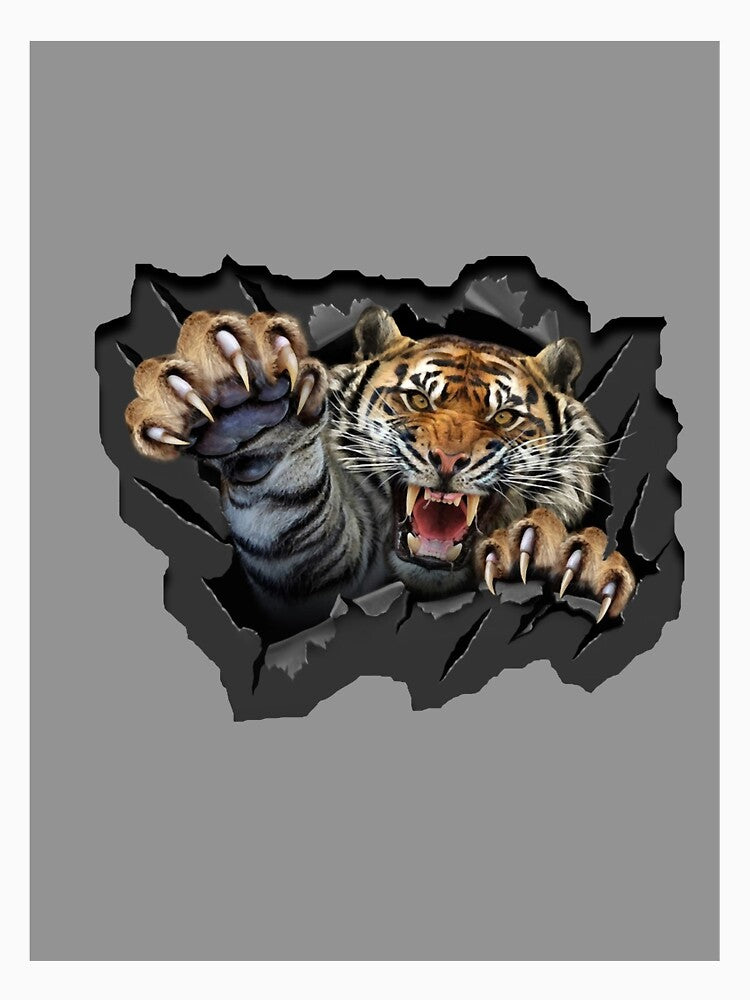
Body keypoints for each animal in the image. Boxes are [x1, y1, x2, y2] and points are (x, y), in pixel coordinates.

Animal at [125, 304, 636, 635]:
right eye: (418, 400)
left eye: (504, 416)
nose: (448, 460)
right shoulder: (312, 569)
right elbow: (286, 506)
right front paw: (246, 396)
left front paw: (561, 560)